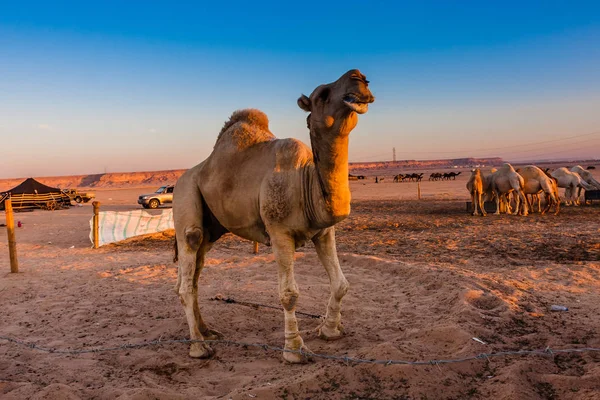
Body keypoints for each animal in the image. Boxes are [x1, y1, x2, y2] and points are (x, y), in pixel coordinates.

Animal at [171, 70, 372, 364]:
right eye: (322, 94)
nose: (359, 78)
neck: (305, 179)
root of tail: (181, 179)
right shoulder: (279, 232)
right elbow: (289, 295)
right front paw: (295, 350)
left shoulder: (324, 231)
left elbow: (341, 284)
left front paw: (330, 330)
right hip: (185, 197)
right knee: (188, 265)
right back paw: (199, 347)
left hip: (212, 228)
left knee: (195, 275)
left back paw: (208, 331)